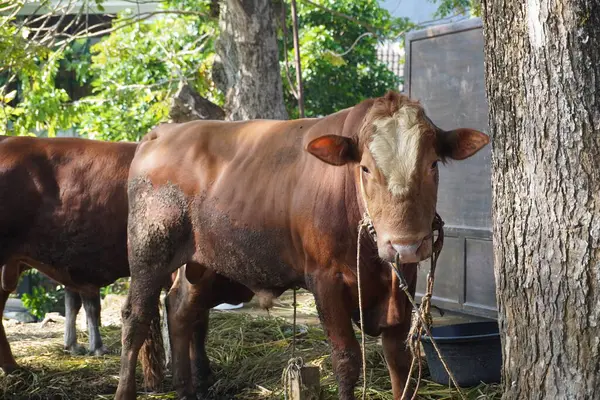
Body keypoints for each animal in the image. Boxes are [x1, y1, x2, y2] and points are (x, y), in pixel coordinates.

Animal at [115, 92, 490, 398]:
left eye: (432, 164)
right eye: (365, 168)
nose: (405, 246)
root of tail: (161, 133)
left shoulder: (402, 283)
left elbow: (399, 358)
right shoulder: (325, 281)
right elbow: (346, 359)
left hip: (201, 263)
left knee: (181, 309)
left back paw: (185, 389)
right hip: (149, 252)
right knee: (136, 318)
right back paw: (126, 391)